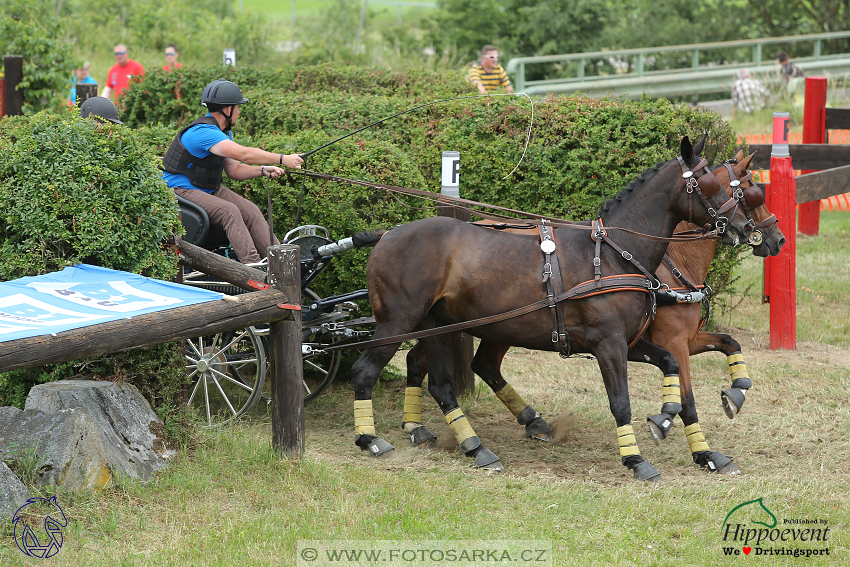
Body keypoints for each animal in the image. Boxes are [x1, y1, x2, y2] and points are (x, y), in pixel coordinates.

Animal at [348, 135, 752, 482]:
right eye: (709, 184)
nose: (745, 228)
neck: (613, 254)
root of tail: (388, 233)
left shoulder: (629, 341)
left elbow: (670, 366)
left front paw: (666, 418)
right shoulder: (609, 344)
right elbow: (621, 402)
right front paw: (636, 459)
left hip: (438, 327)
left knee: (442, 384)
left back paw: (475, 447)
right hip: (399, 323)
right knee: (366, 370)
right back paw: (371, 439)